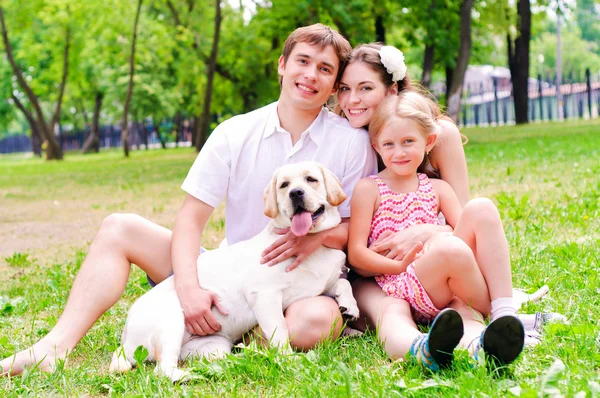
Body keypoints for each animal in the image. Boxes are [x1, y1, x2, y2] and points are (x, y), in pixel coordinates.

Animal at [110, 162, 358, 382]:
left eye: (311, 179)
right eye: (284, 185)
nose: (296, 193)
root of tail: (125, 340)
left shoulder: (323, 283)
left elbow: (343, 283)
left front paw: (350, 306)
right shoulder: (264, 296)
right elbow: (280, 331)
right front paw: (289, 359)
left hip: (215, 347)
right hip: (172, 321)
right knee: (162, 369)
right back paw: (190, 376)